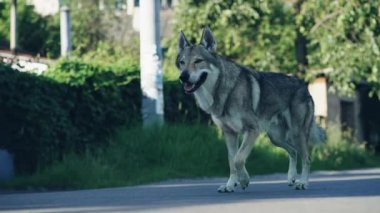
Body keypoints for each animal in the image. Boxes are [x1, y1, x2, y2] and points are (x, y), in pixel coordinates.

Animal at [175, 27, 324, 193]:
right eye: (182, 62)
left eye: (198, 61)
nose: (183, 77)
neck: (224, 90)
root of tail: (304, 86)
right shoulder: (229, 133)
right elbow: (231, 160)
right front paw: (230, 185)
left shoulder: (252, 130)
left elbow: (238, 159)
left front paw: (244, 180)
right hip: (276, 138)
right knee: (293, 152)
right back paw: (291, 178)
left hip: (297, 134)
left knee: (307, 158)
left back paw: (302, 182)